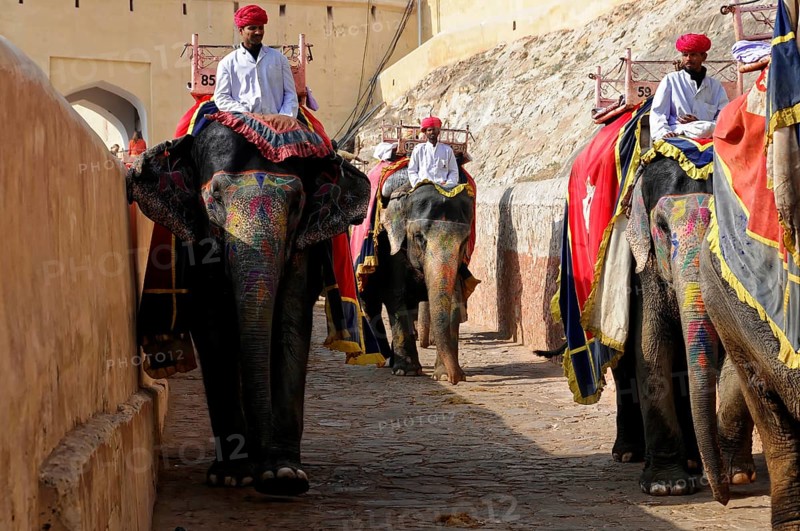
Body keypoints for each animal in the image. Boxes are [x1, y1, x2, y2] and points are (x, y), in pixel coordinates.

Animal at [126, 119, 370, 495]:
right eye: (214, 199)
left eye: (297, 205)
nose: (263, 475)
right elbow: (213, 322)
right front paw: (233, 476)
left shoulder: (302, 246)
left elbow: (290, 317)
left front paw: (284, 475)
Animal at [359, 170, 475, 384]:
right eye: (419, 237)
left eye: (464, 241)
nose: (456, 378)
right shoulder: (392, 247)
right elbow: (396, 297)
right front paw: (407, 372)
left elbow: (454, 301)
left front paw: (443, 375)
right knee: (370, 305)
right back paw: (384, 360)